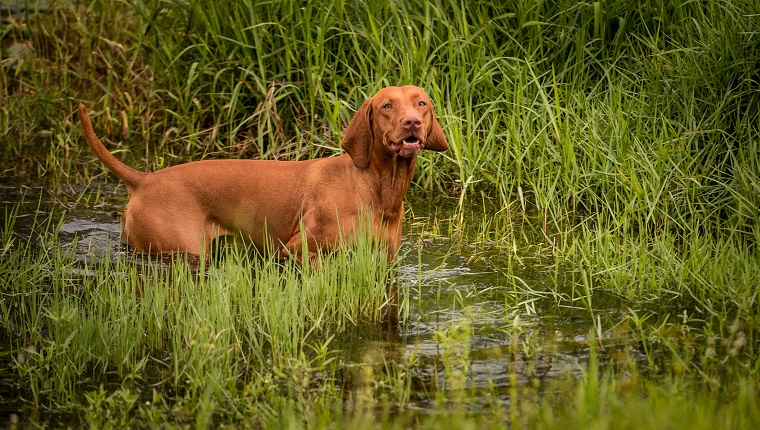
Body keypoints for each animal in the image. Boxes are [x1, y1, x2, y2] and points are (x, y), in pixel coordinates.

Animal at [78, 84, 446, 258]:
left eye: (421, 103)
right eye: (387, 105)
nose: (411, 122)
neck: (375, 185)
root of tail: (145, 179)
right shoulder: (299, 250)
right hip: (183, 249)